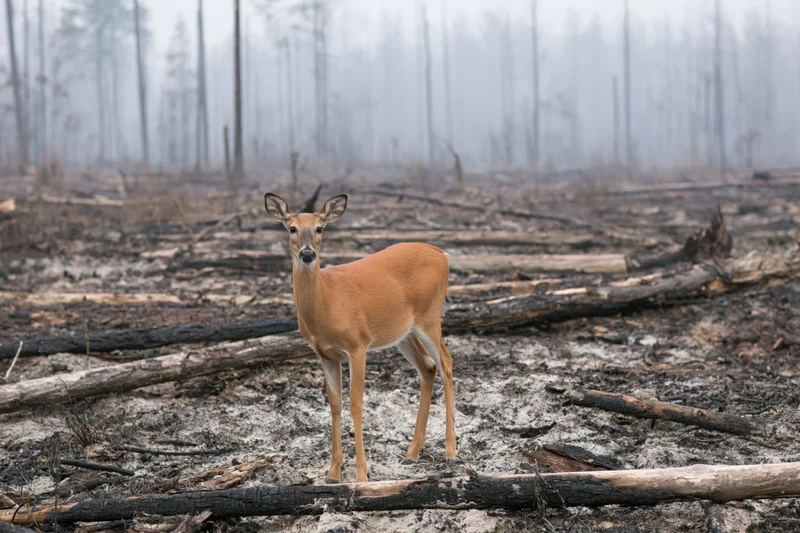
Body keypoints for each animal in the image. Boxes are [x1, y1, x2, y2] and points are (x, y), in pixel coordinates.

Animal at [264, 192, 456, 483]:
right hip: (404, 332)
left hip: (430, 315)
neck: (328, 304)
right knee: (428, 367)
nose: (307, 254)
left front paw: (361, 474)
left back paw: (450, 451)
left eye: (320, 228)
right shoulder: (326, 354)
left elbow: (355, 404)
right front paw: (332, 472)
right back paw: (411, 454)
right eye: (291, 228)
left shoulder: (357, 345)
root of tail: (442, 254)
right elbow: (335, 404)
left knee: (446, 363)